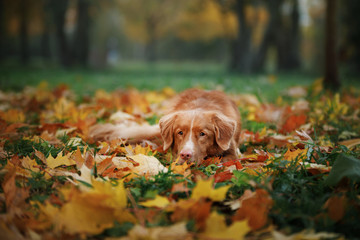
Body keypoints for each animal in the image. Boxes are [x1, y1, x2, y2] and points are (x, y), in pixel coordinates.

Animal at [90, 88, 242, 165]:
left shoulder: (230, 150)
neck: (200, 106)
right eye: (180, 132)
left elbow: (227, 158)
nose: (185, 155)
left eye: (202, 134)